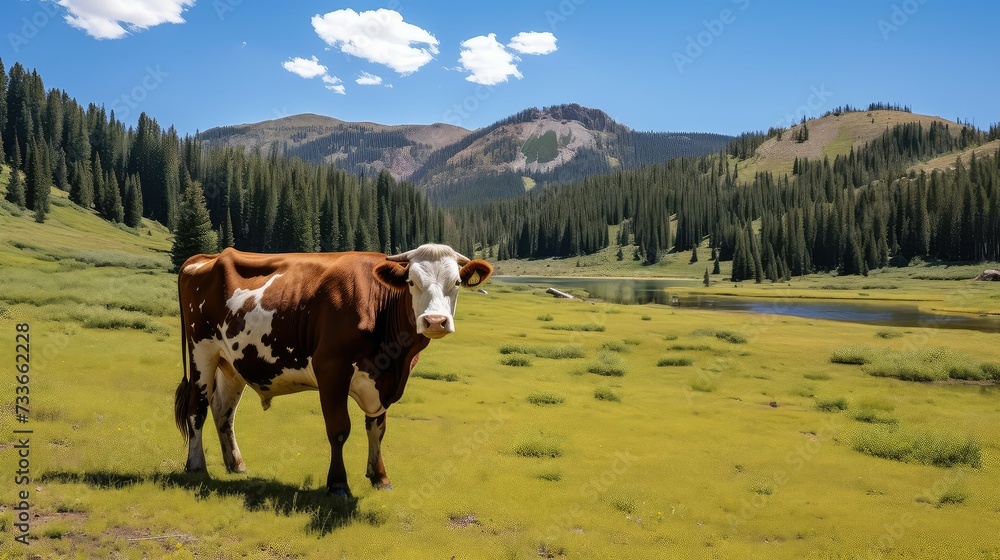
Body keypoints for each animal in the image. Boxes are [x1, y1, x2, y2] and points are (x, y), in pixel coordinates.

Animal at [174, 244, 492, 497]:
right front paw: (338, 484)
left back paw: (236, 465)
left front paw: (380, 478)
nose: (435, 321)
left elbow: (377, 428)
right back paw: (196, 466)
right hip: (201, 350)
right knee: (197, 408)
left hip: (231, 362)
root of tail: (206, 258)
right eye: (412, 282)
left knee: (224, 412)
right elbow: (339, 430)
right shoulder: (331, 368)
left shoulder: (381, 383)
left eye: (456, 282)